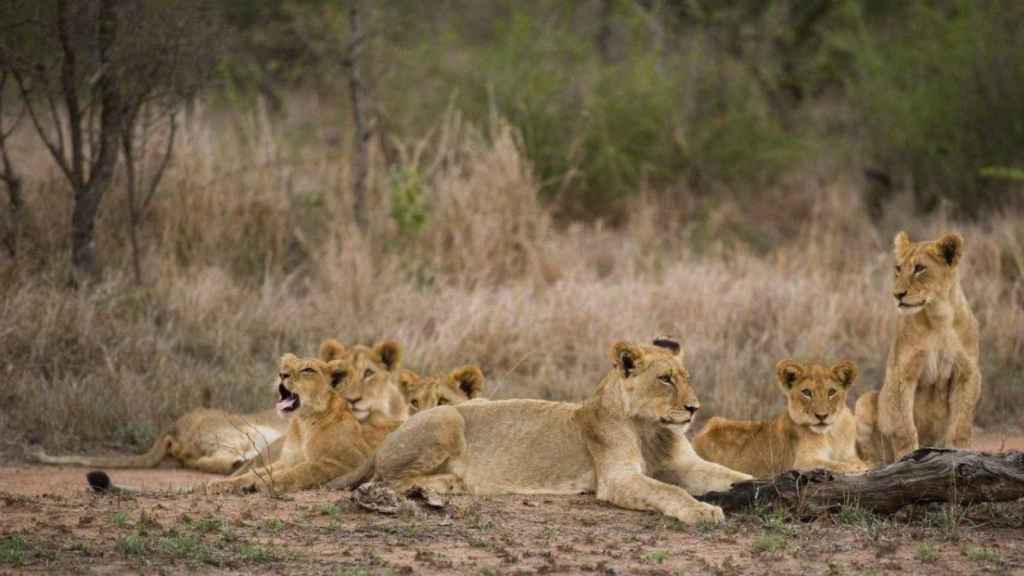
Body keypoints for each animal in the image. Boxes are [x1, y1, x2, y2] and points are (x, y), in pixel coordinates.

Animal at [335, 338, 753, 522]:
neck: (652, 428)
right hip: (449, 417)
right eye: (665, 379)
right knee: (386, 480)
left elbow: (734, 475)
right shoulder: (617, 478)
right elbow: (668, 491)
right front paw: (702, 510)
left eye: (686, 377)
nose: (694, 408)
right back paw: (450, 484)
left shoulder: (687, 465)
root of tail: (388, 437)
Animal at [692, 358, 868, 475]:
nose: (821, 416)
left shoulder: (849, 454)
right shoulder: (803, 462)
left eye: (831, 392)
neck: (832, 434)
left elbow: (852, 461)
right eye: (807, 392)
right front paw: (858, 468)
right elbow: (835, 465)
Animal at [851, 230, 978, 463]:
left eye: (919, 268)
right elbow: (904, 426)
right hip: (864, 401)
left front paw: (959, 452)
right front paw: (908, 457)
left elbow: (961, 424)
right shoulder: (902, 373)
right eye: (898, 269)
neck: (938, 317)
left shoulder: (967, 373)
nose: (897, 295)